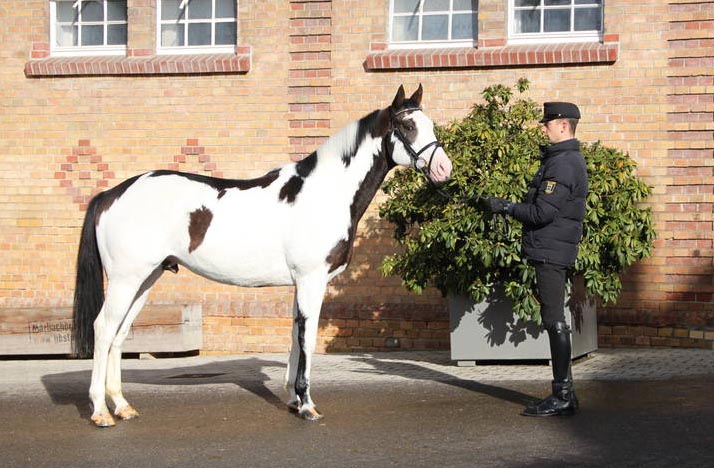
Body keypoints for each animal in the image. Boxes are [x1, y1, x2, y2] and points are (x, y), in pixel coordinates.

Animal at [72, 84, 452, 427]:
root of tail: (110, 194)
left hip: (145, 279)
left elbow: (296, 334)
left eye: (430, 124)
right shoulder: (312, 279)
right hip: (126, 279)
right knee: (103, 329)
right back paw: (101, 412)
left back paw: (122, 406)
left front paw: (293, 399)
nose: (444, 170)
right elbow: (308, 337)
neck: (324, 193)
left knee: (119, 333)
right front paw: (308, 405)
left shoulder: (301, 282)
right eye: (407, 126)